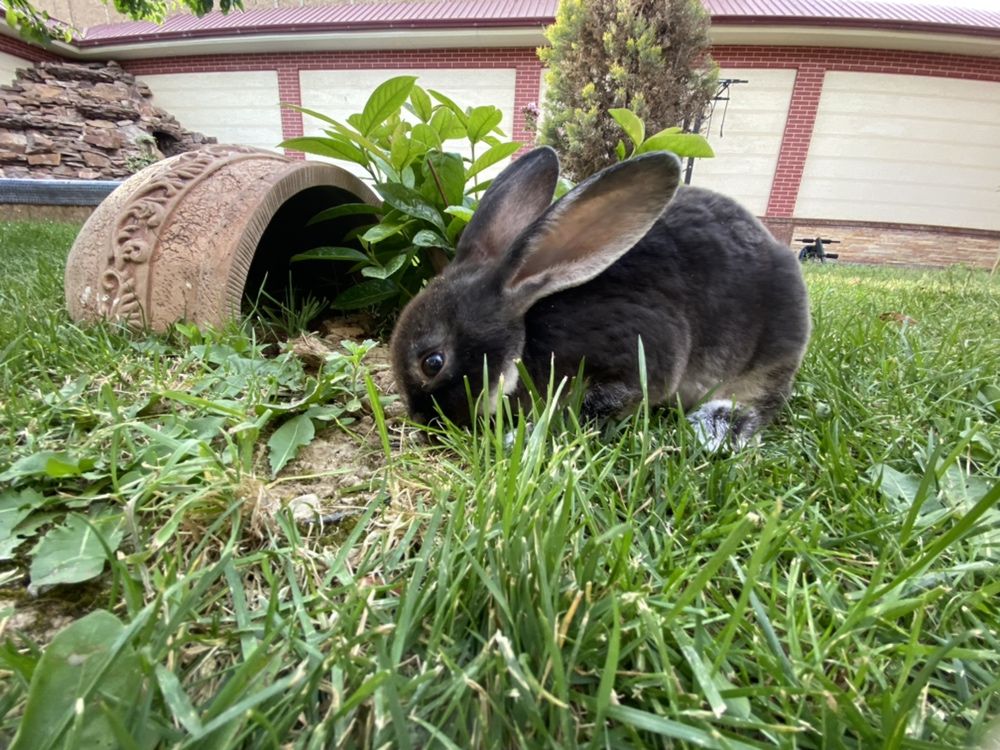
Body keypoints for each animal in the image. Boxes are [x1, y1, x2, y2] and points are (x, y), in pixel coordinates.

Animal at [390, 148, 812, 452]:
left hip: (768, 358)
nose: (424, 425)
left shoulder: (634, 354)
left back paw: (717, 427)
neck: (524, 336)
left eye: (432, 363)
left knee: (761, 400)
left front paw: (525, 437)